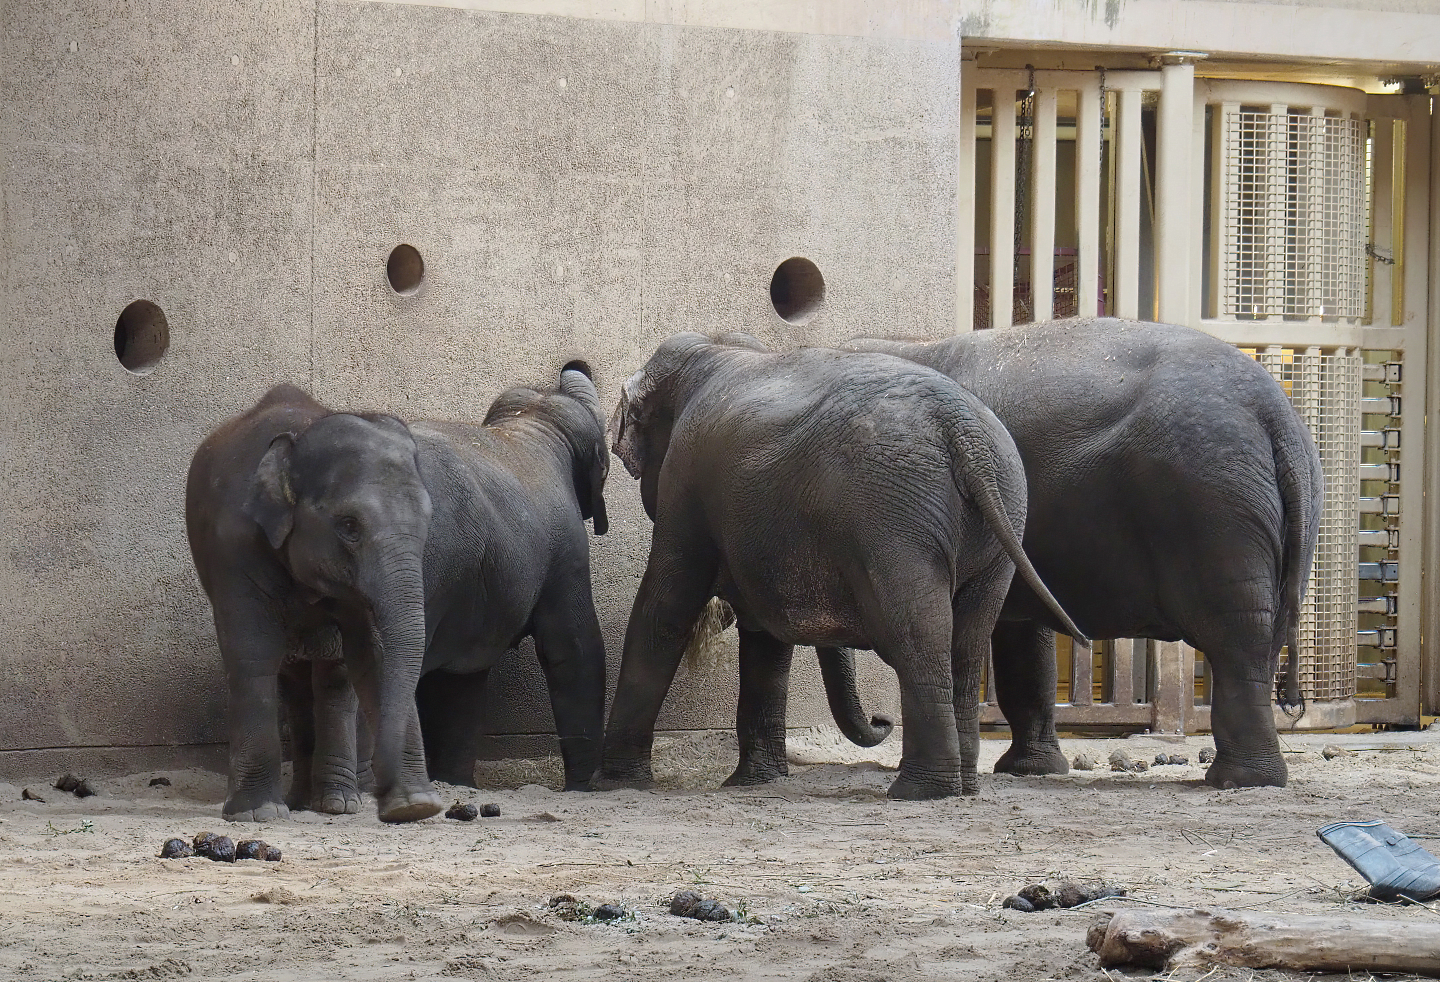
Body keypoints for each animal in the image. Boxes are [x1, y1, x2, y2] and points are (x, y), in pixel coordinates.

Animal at [185, 364, 610, 822]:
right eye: (348, 526)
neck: (528, 422)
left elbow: (443, 673)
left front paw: (421, 799)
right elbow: (573, 648)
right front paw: (583, 787)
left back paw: (337, 799)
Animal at [599, 332, 1086, 799]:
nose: (881, 720)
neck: (715, 349)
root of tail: (964, 432)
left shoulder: (684, 480)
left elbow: (666, 609)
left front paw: (617, 783)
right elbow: (764, 639)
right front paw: (754, 783)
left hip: (894, 523)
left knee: (914, 634)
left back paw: (919, 791)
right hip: (1000, 521)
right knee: (967, 640)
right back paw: (962, 787)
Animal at [815, 317, 1323, 789]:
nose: (881, 720)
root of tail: (1274, 411)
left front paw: (1025, 769)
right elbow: (1026, 644)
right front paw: (1034, 769)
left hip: (1214, 509)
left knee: (1237, 640)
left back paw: (1238, 780)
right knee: (1265, 637)